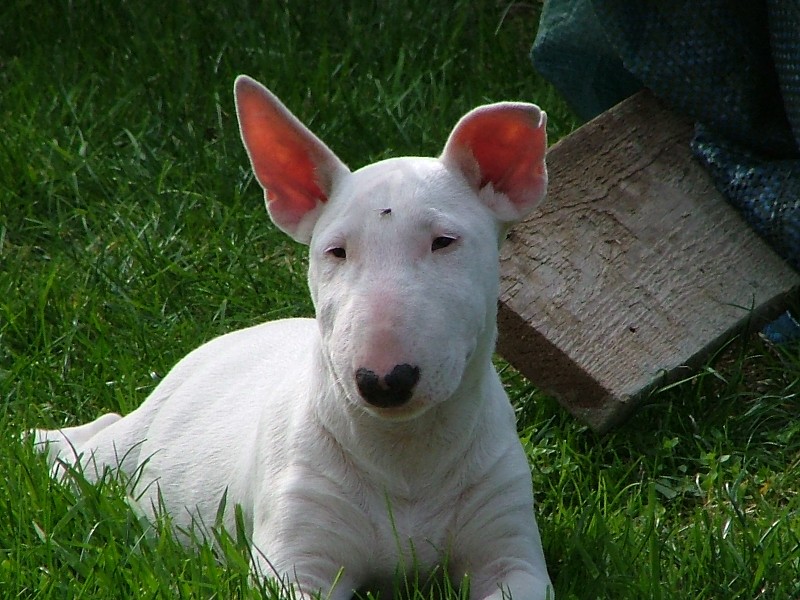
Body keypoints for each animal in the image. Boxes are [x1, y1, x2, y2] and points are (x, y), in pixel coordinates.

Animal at [32, 74, 553, 600]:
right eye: (336, 251)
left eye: (444, 242)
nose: (384, 381)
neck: (403, 455)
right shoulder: (295, 551)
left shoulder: (509, 546)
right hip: (126, 454)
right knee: (86, 453)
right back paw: (36, 439)